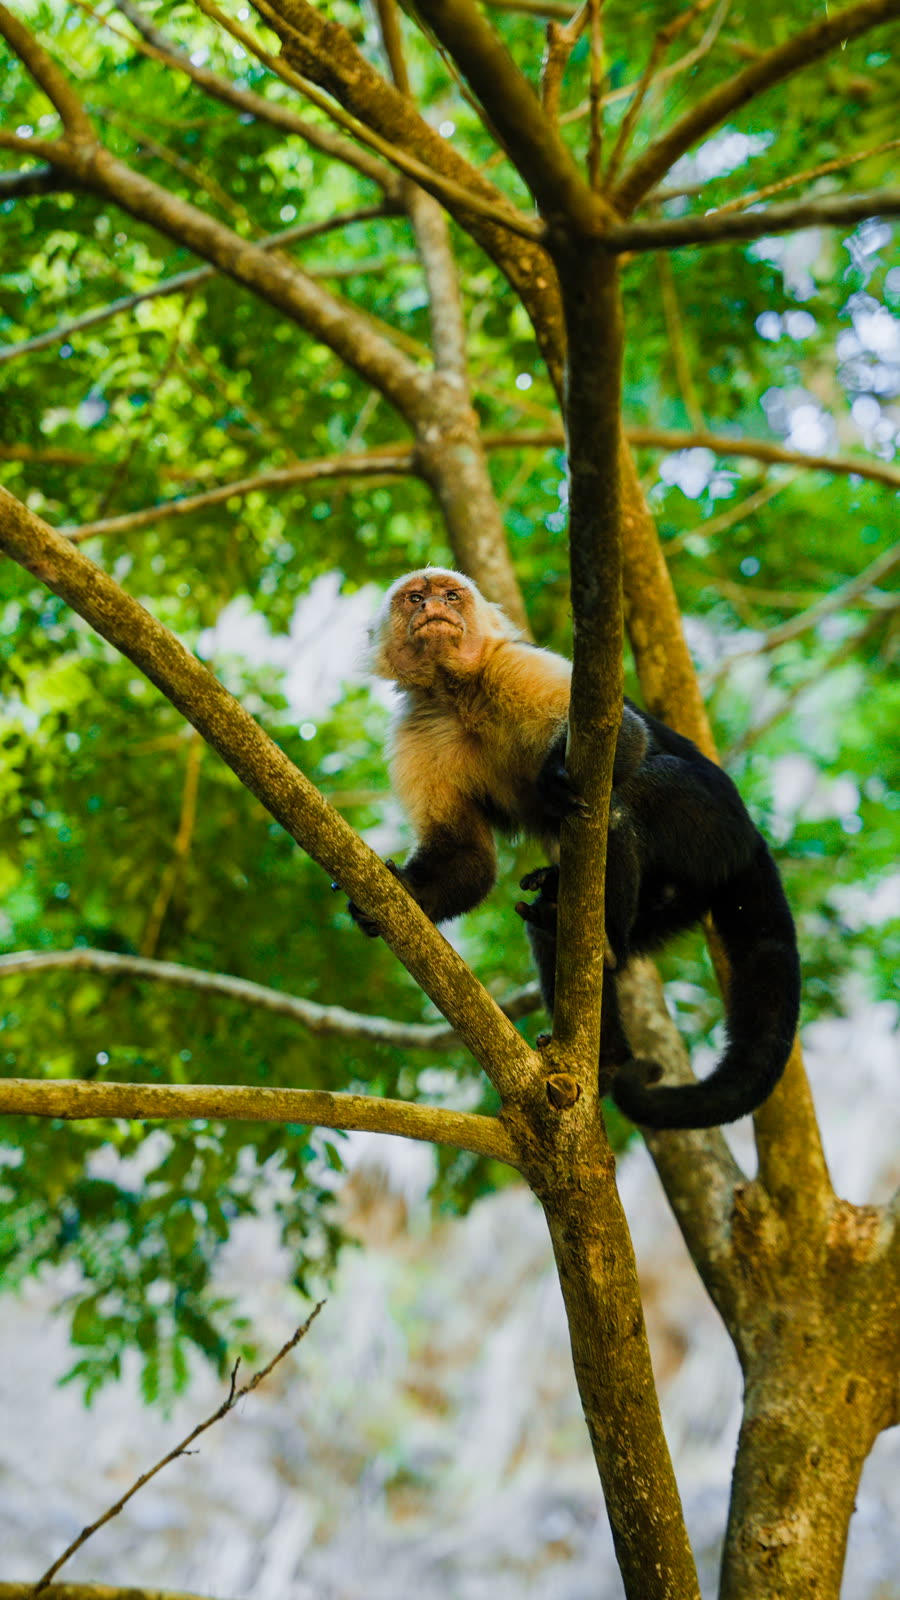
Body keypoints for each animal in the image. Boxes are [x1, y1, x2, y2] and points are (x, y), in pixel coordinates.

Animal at [347, 566, 801, 1130]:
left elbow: (623, 732)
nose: (434, 607)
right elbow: (468, 859)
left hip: (709, 829)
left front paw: (555, 777)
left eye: (452, 595)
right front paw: (402, 891)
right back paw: (604, 1042)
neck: (460, 693)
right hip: (679, 896)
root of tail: (750, 839)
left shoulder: (517, 666)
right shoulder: (418, 729)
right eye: (414, 598)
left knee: (623, 796)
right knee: (562, 933)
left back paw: (603, 932)